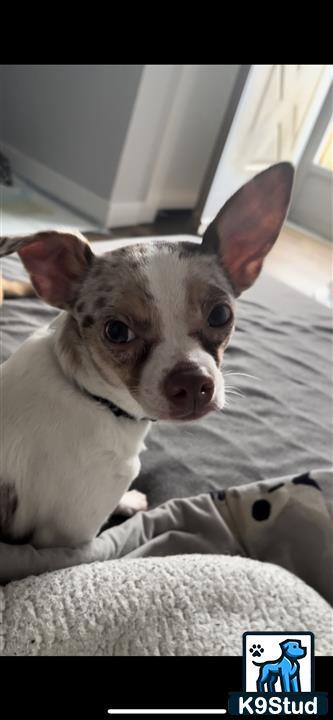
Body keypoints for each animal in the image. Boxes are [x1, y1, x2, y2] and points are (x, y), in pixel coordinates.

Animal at [0, 162, 292, 544]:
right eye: (116, 332)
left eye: (220, 315)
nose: (192, 383)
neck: (94, 399)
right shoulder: (67, 538)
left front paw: (127, 500)